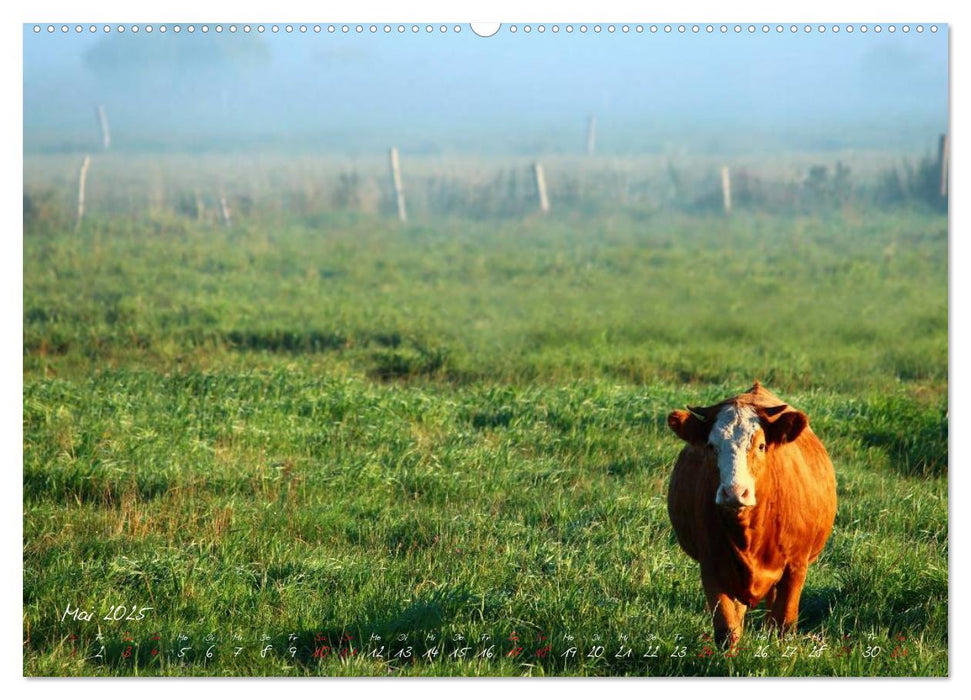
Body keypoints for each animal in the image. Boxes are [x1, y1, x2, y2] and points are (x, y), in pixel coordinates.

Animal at [668, 382, 836, 644]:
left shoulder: (795, 568)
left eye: (761, 445)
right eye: (711, 446)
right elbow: (728, 630)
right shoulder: (711, 567)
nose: (734, 492)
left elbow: (784, 625)